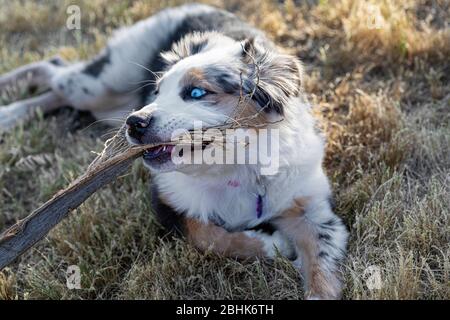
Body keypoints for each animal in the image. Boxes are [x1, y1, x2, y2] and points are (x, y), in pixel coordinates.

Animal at [0, 3, 348, 300]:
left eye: (196, 92)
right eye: (157, 91)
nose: (134, 123)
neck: (238, 167)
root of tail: (191, 6)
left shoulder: (311, 207)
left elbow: (322, 261)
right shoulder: (166, 201)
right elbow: (207, 235)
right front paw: (272, 244)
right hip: (101, 82)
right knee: (54, 67)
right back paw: (9, 107)